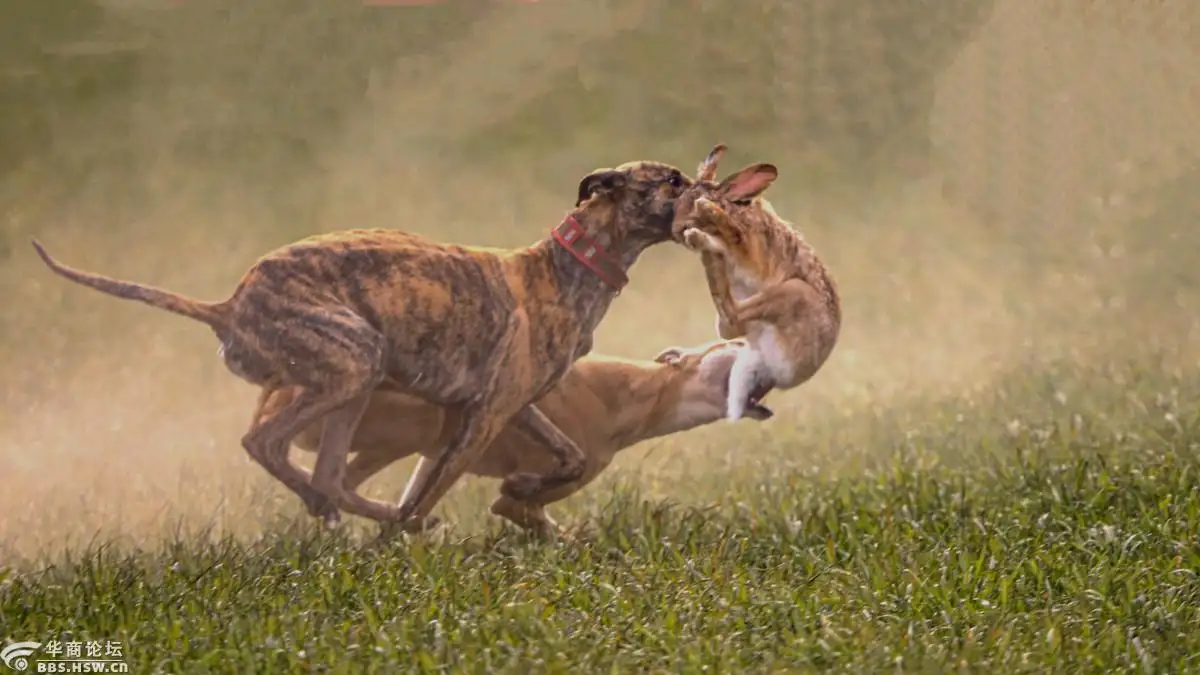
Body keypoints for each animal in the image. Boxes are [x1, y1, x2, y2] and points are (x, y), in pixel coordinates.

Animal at [261, 338, 768, 533]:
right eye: (731, 344)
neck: (634, 390)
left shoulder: (441, 455)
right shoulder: (522, 493)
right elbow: (529, 514)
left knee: (341, 489)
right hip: (400, 432)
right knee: (335, 483)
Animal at [667, 146, 844, 417]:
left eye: (692, 201)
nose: (677, 229)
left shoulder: (747, 246)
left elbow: (732, 235)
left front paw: (707, 212)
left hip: (793, 294)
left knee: (732, 319)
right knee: (730, 326)